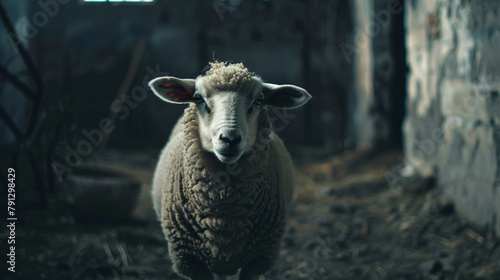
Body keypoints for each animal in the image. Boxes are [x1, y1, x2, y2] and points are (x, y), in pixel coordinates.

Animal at [148, 61, 310, 280]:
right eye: (198, 98)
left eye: (259, 100)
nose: (230, 139)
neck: (224, 215)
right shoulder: (189, 260)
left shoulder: (259, 259)